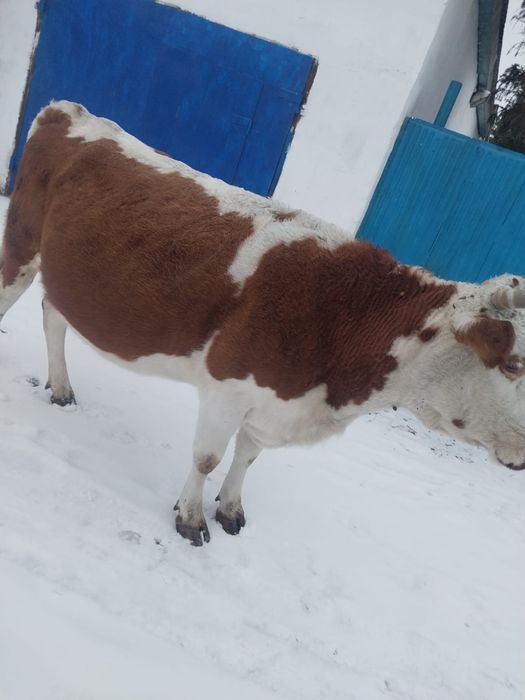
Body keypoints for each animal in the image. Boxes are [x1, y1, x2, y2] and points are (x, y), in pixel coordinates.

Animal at [3, 100, 525, 546]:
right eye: (513, 365)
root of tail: (69, 110)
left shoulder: (273, 402)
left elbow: (248, 456)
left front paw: (230, 509)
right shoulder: (227, 386)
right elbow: (207, 457)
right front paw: (190, 518)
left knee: (54, 314)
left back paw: (61, 387)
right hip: (22, 241)